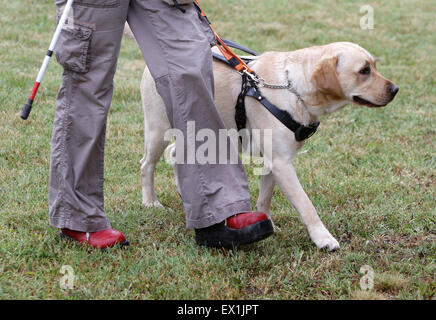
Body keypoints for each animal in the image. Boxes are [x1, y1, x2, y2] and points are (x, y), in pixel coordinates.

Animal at [140, 41, 398, 250]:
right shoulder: (282, 163)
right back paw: (150, 202)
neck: (292, 88)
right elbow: (306, 205)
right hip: (159, 130)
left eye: (374, 66)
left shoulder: (274, 162)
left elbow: (265, 199)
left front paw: (266, 223)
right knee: (146, 165)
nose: (395, 90)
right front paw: (323, 238)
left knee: (176, 155)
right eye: (364, 71)